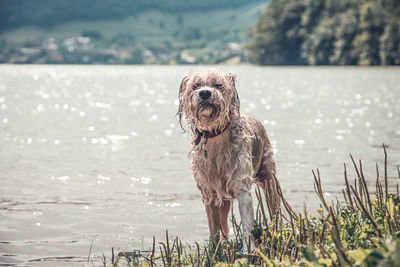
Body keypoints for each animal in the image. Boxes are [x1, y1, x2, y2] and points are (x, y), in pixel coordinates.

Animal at [177, 69, 278, 251]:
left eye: (218, 84)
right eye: (196, 85)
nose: (205, 93)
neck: (215, 136)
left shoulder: (242, 187)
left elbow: (247, 223)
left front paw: (248, 249)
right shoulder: (209, 193)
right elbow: (214, 228)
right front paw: (214, 250)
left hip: (269, 179)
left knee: (274, 204)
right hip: (223, 200)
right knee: (223, 222)